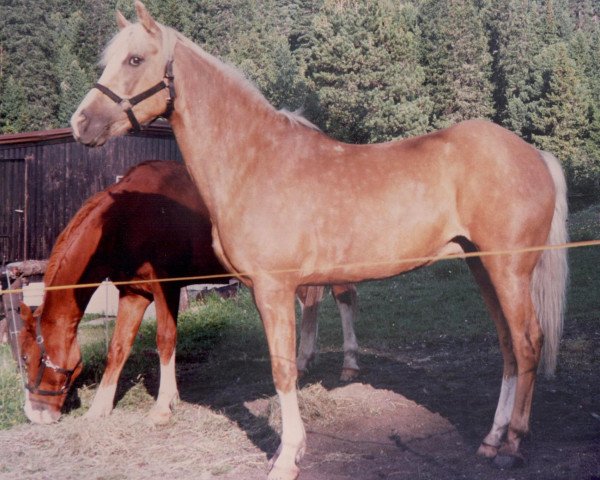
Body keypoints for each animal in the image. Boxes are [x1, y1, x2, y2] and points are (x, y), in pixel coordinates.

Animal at [17, 160, 356, 424]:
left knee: (343, 297)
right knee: (311, 300)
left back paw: (349, 365)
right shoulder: (134, 293)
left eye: (30, 357)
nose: (34, 413)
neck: (125, 220)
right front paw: (100, 407)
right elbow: (118, 347)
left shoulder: (166, 287)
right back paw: (303, 360)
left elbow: (165, 340)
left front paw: (164, 404)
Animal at [68, 2, 568, 476]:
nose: (81, 123)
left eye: (135, 59)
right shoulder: (267, 292)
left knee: (527, 343)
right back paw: (492, 439)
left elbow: (284, 369)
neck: (253, 161)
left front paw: (288, 457)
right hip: (482, 265)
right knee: (507, 346)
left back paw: (513, 445)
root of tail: (533, 154)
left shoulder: (274, 290)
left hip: (508, 269)